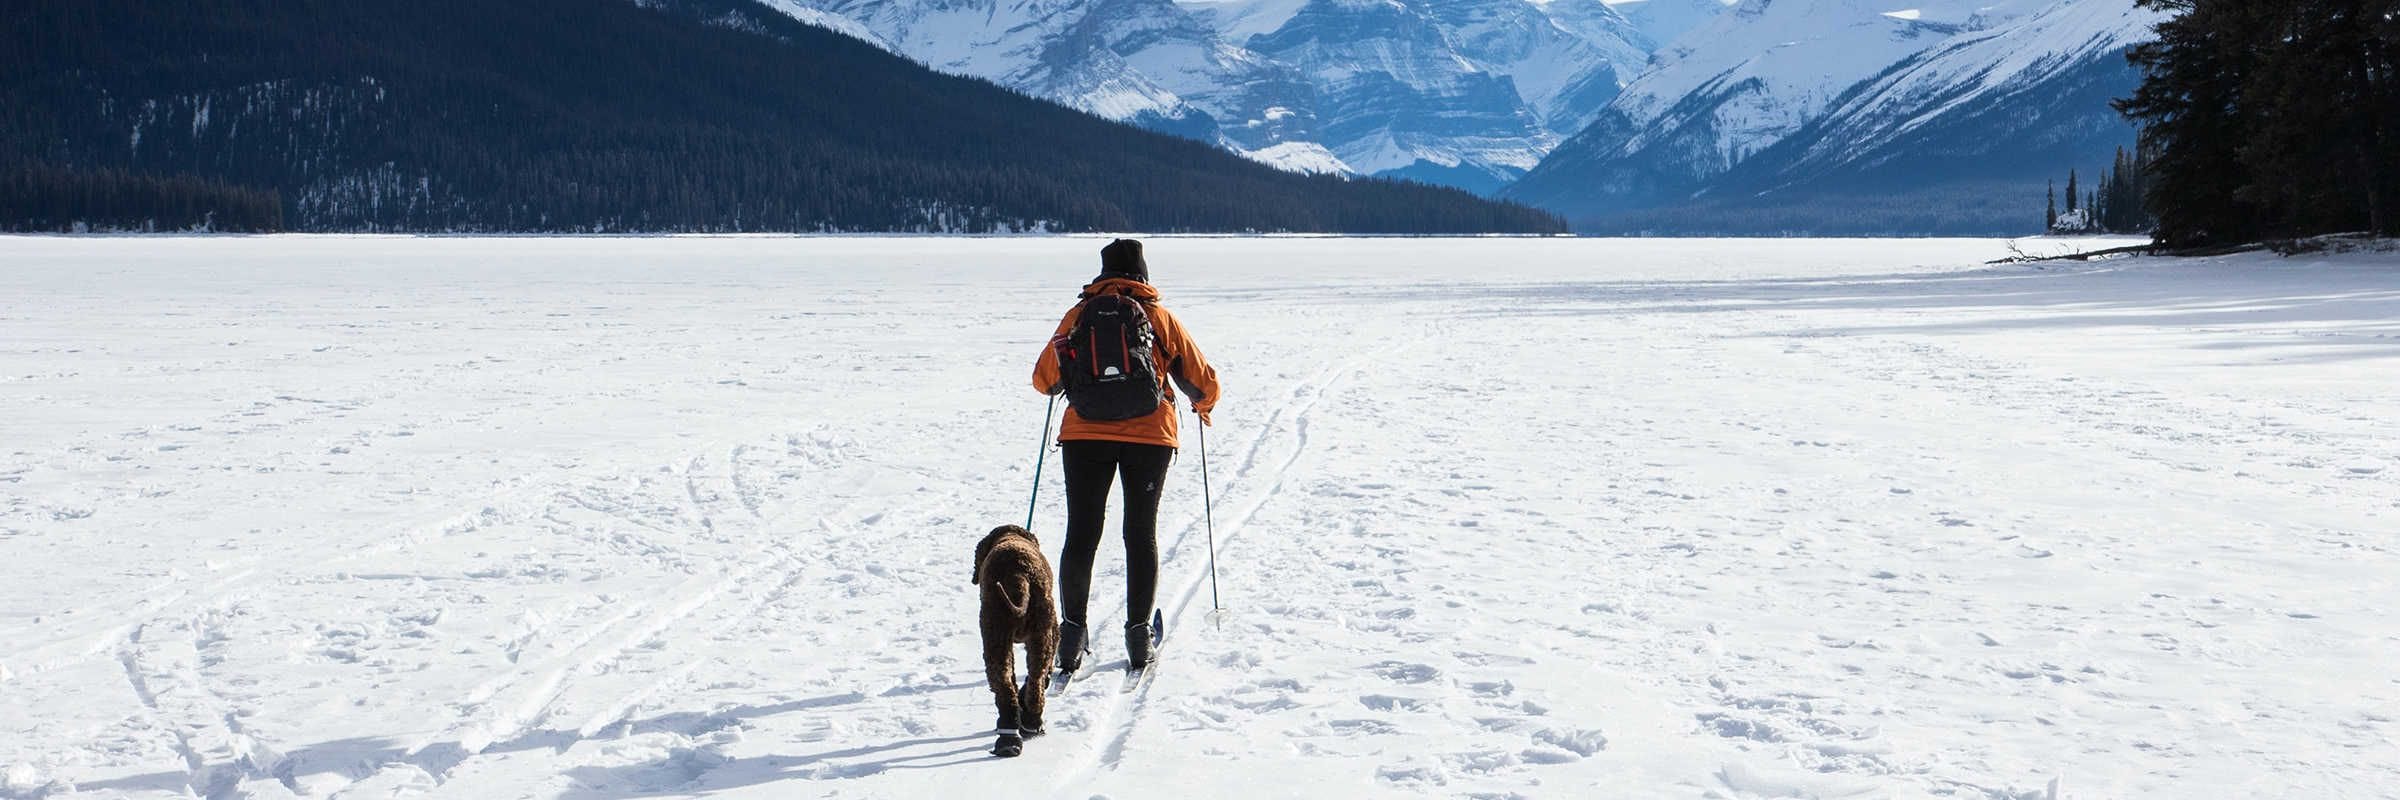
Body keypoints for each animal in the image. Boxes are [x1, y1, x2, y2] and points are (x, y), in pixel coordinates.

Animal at [969, 523, 1056, 754]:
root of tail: (1019, 576)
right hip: (1039, 633)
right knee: (1033, 682)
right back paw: (1027, 726)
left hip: (998, 636)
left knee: (1013, 683)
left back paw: (1011, 737)